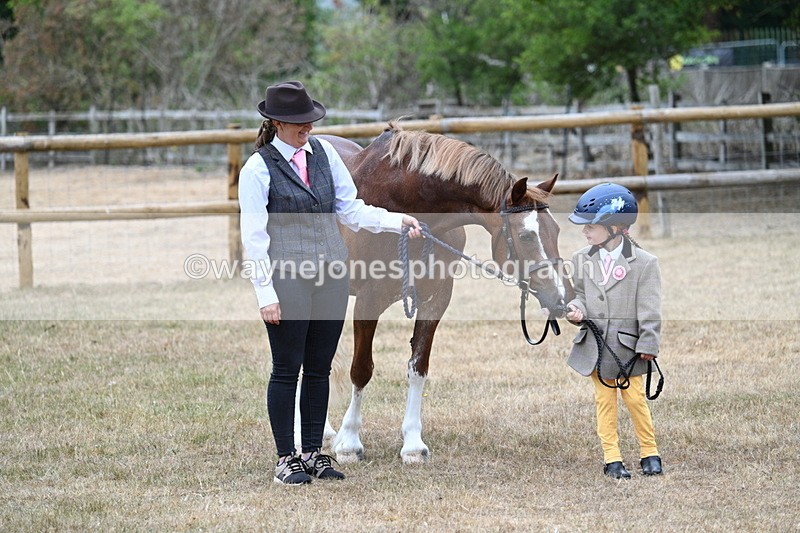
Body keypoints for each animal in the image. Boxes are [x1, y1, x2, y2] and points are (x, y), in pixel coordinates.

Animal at [319, 123, 573, 464]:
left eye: (556, 231)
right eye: (525, 236)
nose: (561, 297)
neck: (406, 206)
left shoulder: (435, 299)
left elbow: (418, 368)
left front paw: (413, 445)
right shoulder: (369, 301)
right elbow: (361, 369)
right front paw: (349, 443)